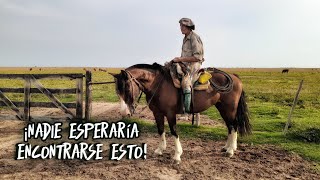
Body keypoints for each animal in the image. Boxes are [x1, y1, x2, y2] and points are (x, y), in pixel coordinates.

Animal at [110, 63, 252, 163]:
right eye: (117, 91)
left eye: (127, 88)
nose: (124, 113)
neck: (158, 85)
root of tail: (234, 77)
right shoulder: (157, 113)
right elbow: (161, 130)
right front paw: (160, 150)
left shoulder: (170, 113)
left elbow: (174, 132)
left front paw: (177, 156)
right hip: (222, 108)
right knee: (230, 126)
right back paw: (227, 147)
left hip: (230, 109)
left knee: (234, 125)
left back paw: (231, 150)